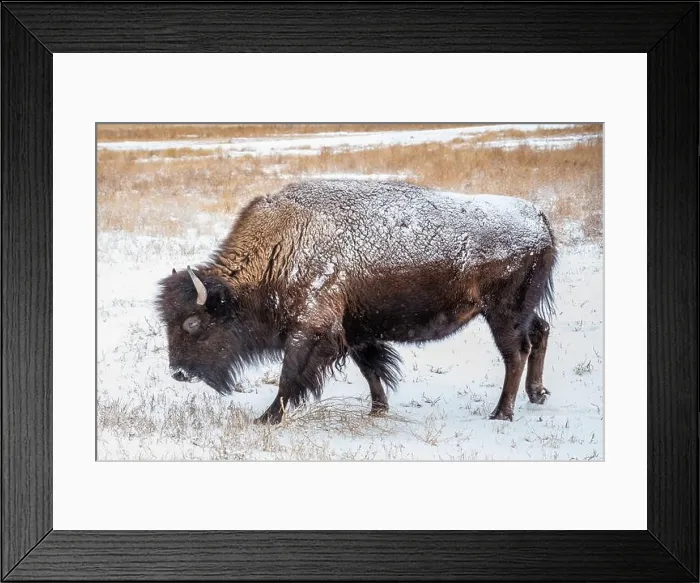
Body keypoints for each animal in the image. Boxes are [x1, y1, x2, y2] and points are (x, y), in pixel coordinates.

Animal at [156, 180, 557, 423]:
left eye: (193, 323)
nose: (178, 373)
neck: (282, 248)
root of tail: (538, 217)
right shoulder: (354, 331)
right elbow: (371, 369)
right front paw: (378, 410)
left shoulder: (311, 331)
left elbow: (290, 377)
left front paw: (266, 419)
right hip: (523, 308)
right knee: (540, 332)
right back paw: (537, 395)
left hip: (502, 313)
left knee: (515, 353)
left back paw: (501, 413)